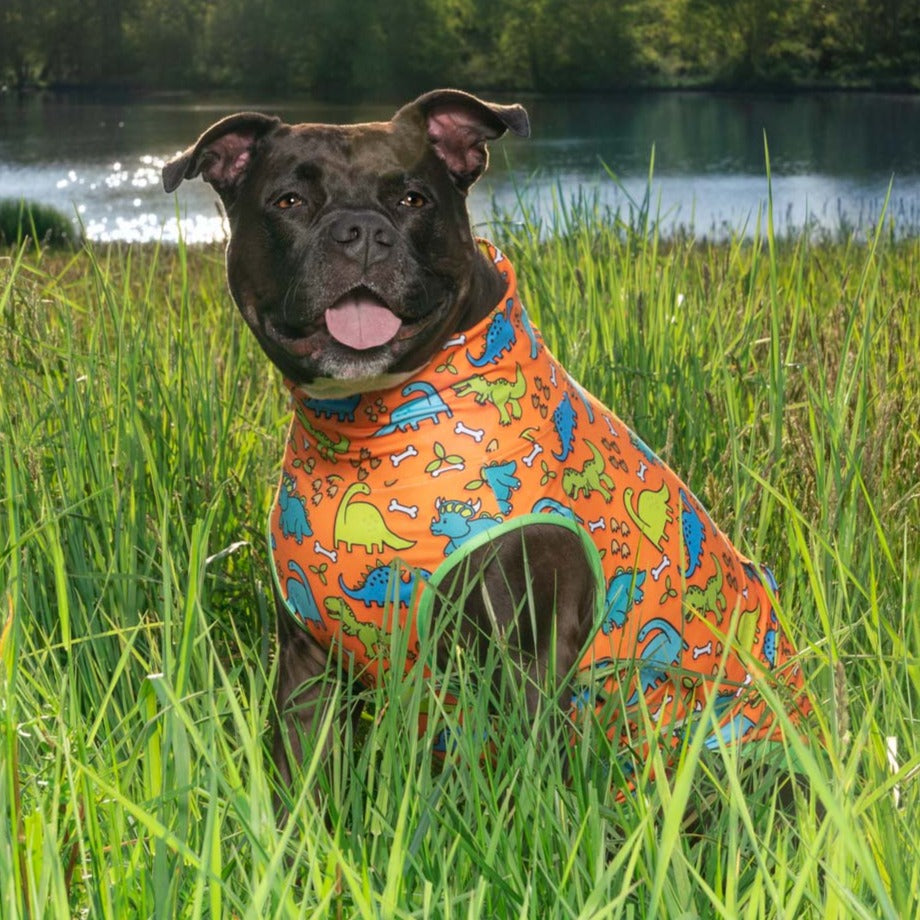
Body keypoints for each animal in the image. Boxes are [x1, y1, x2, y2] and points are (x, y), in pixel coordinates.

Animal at [164, 90, 804, 796]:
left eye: (413, 198)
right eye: (289, 201)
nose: (360, 232)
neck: (372, 433)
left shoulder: (527, 656)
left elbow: (526, 794)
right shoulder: (307, 658)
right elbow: (298, 781)